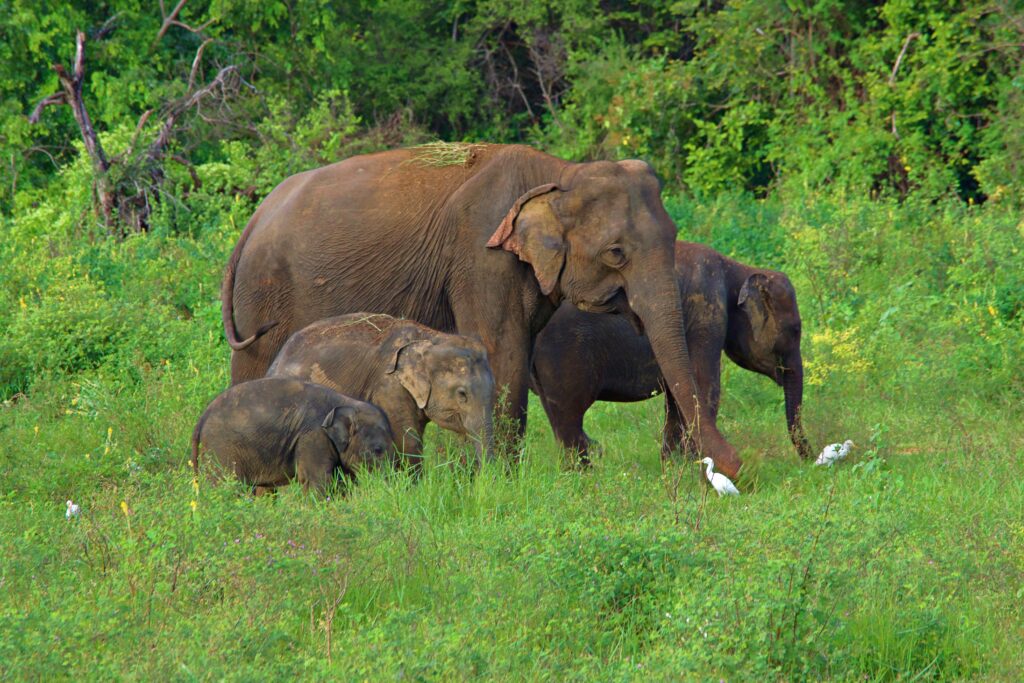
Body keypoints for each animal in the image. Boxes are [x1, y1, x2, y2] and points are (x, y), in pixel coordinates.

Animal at [192, 376, 395, 493]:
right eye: (378, 450)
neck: (346, 401)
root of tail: (202, 418)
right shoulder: (313, 437)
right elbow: (317, 480)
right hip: (221, 448)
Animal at [532, 241, 811, 464]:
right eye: (795, 329)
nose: (811, 461)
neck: (737, 268)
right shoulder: (706, 311)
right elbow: (705, 386)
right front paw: (694, 464)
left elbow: (679, 395)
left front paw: (673, 464)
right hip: (563, 355)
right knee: (569, 415)